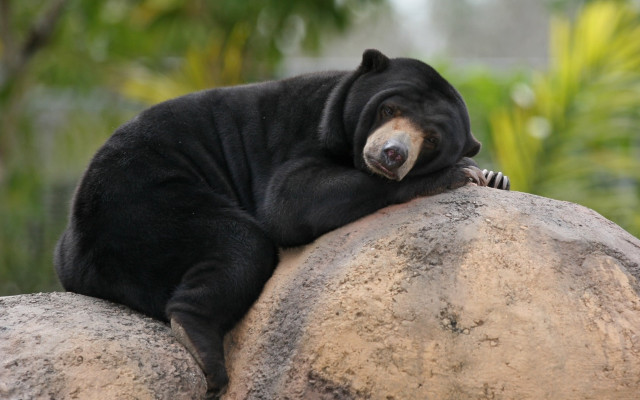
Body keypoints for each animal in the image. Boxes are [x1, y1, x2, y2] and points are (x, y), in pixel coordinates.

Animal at [54, 49, 509, 397]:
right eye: (389, 109)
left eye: (430, 139)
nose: (393, 154)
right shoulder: (303, 135)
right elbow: (289, 202)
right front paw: (460, 173)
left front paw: (494, 177)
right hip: (143, 200)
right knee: (240, 244)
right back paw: (202, 349)